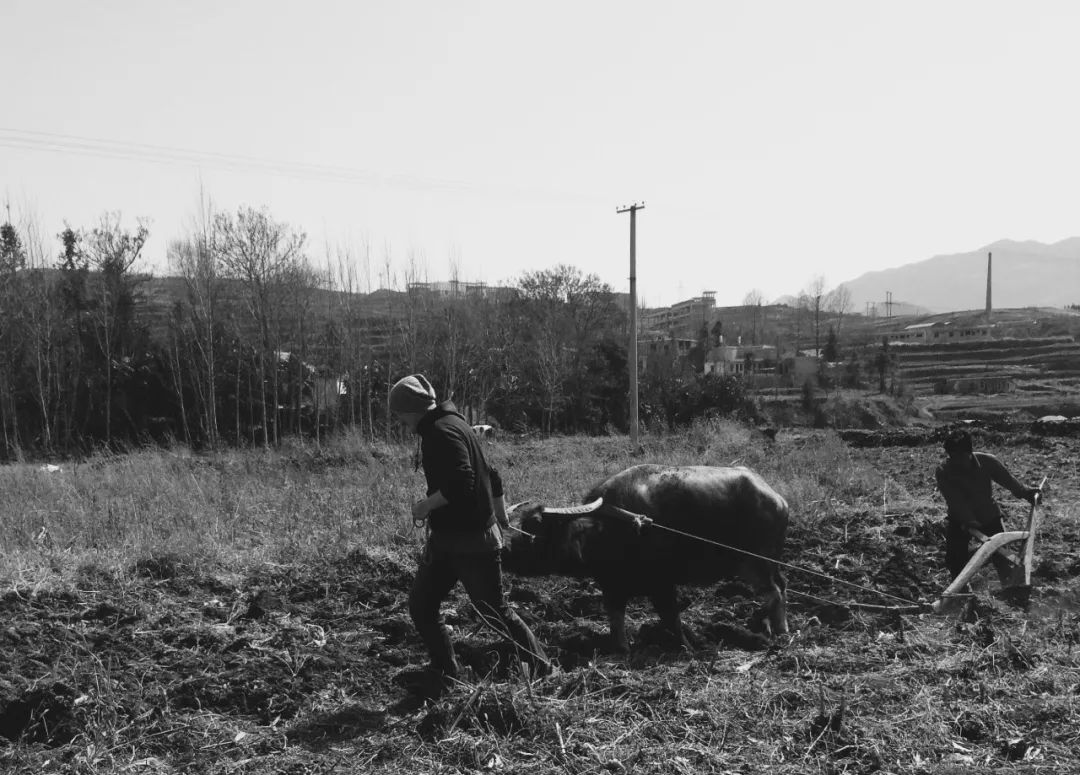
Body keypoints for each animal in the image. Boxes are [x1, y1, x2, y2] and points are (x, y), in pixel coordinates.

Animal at [501, 468, 790, 656]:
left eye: (535, 528)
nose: (504, 552)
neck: (610, 528)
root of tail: (777, 500)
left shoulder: (662, 584)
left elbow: (671, 617)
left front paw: (688, 645)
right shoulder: (612, 585)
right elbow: (616, 618)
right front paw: (621, 647)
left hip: (756, 560)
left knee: (774, 591)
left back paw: (761, 622)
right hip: (755, 563)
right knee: (780, 587)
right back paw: (777, 628)